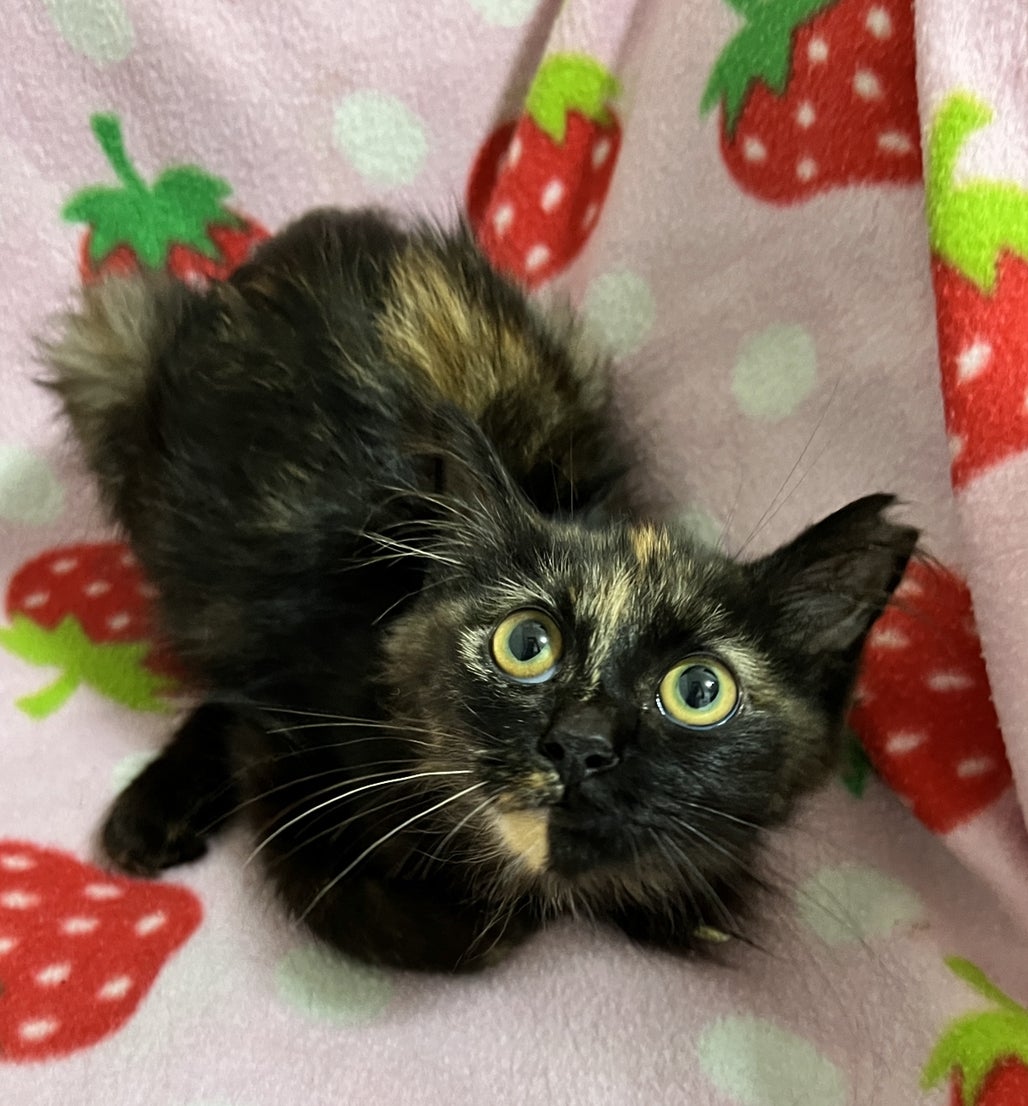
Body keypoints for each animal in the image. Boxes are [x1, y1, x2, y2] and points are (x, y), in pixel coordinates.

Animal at [42, 207, 918, 972]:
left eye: (699, 690)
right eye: (526, 645)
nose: (581, 743)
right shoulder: (285, 748)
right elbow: (457, 928)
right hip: (110, 350)